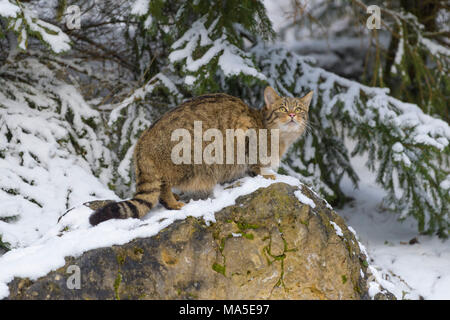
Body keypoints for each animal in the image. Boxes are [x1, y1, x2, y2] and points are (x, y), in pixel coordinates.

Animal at [89, 85, 312, 225]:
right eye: (283, 108)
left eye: (299, 108)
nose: (293, 115)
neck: (279, 137)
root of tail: (142, 140)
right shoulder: (245, 135)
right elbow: (255, 165)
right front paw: (265, 174)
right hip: (186, 160)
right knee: (163, 188)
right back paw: (173, 202)